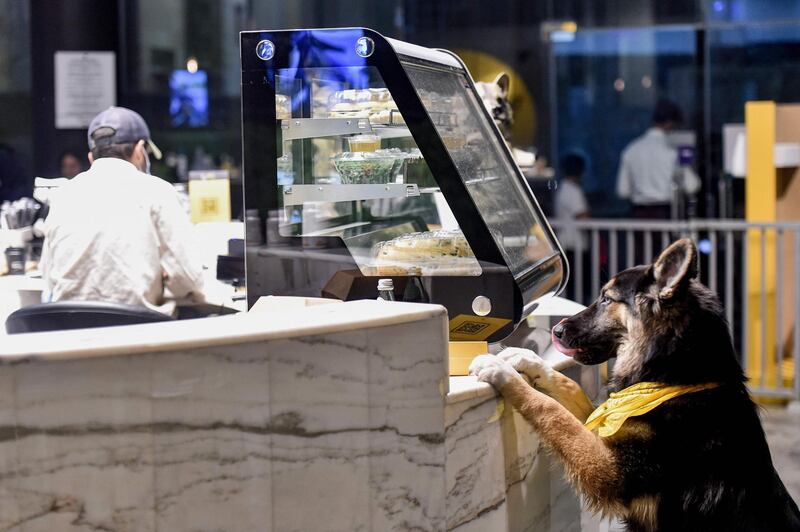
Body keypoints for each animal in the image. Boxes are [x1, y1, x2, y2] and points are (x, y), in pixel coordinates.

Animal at [468, 240, 800, 532]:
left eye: (606, 299)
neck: (678, 378)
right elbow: (567, 388)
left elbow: (552, 411)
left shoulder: (608, 470)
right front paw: (525, 358)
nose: (557, 331)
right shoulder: (605, 429)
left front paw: (501, 371)